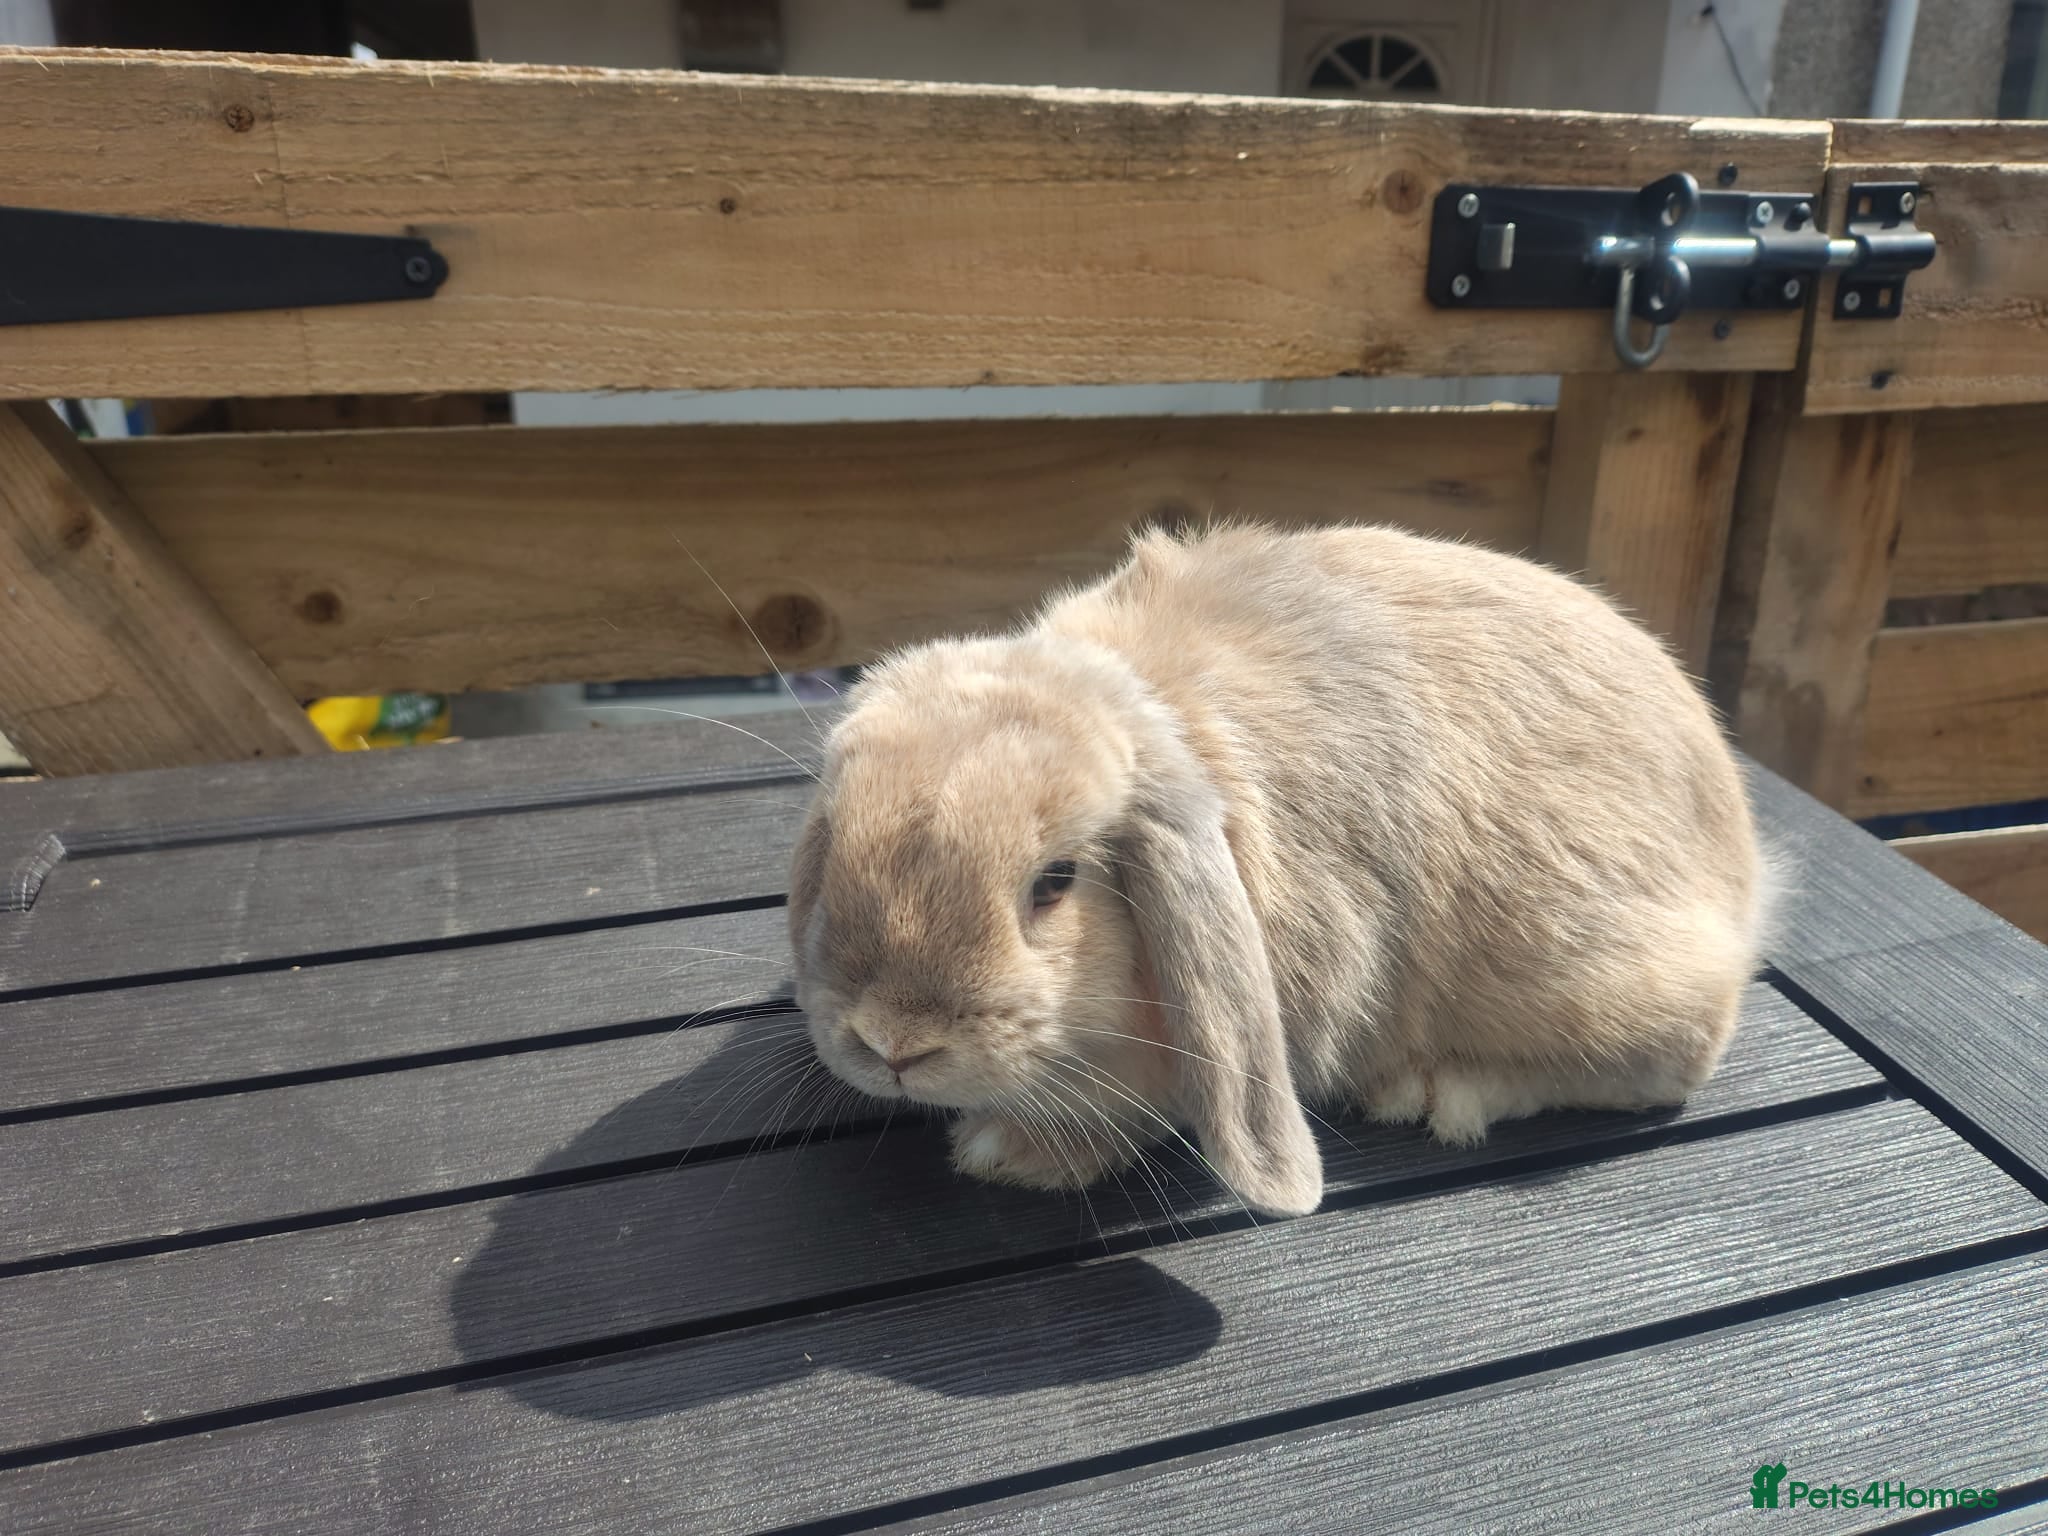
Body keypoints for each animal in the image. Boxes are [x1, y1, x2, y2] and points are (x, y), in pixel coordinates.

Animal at [786, 522, 1770, 1218]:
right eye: (834, 845)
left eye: (1054, 883)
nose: (893, 1044)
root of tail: (1746, 868)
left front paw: (1010, 1153)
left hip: (1585, 975)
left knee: (1675, 1056)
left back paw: (1433, 1089)